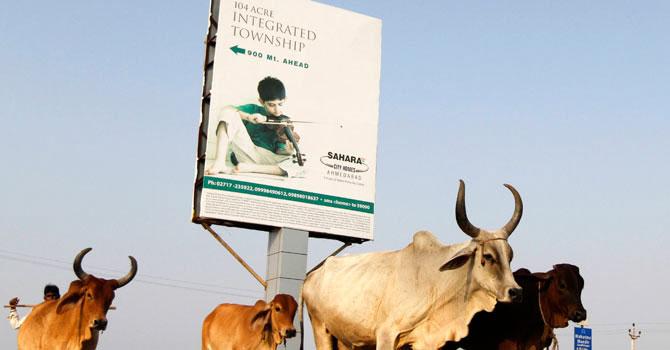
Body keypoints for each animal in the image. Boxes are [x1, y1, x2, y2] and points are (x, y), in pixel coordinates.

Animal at [304, 180, 524, 350]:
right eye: (488, 256)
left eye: (510, 256)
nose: (515, 292)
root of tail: (313, 274)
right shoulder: (386, 335)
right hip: (320, 328)